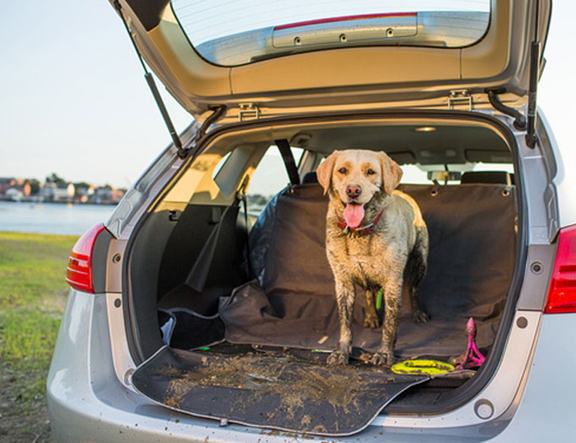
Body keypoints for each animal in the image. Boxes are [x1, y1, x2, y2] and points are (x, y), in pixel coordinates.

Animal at [316, 151, 428, 366]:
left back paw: (418, 313)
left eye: (370, 172)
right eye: (342, 170)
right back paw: (371, 317)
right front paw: (341, 352)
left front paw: (384, 353)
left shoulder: (393, 282)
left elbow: (390, 324)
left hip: (421, 261)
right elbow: (345, 324)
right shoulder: (343, 282)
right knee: (369, 293)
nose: (353, 190)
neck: (359, 231)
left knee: (414, 287)